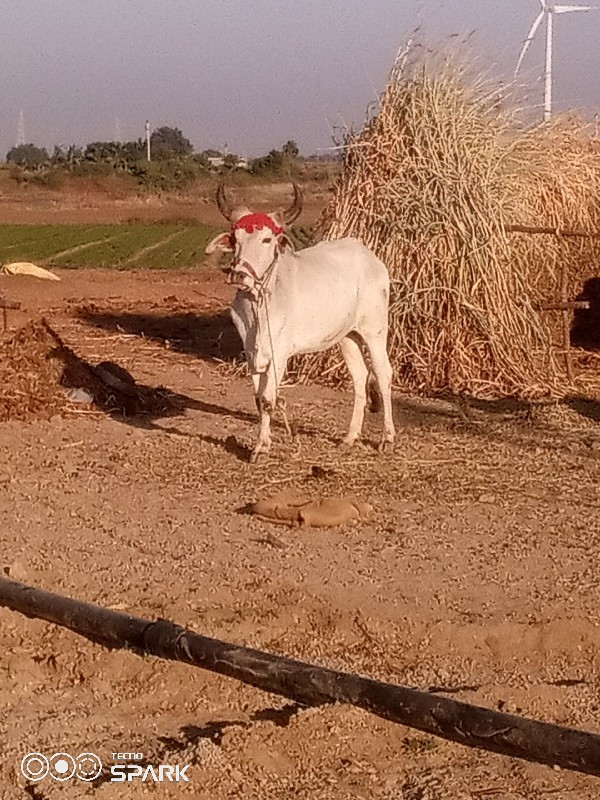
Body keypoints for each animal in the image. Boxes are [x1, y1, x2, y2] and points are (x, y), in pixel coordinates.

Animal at [204, 183, 396, 462]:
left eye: (267, 239)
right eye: (235, 239)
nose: (239, 275)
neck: (261, 302)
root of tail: (370, 257)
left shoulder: (279, 353)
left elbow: (268, 398)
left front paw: (261, 447)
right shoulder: (252, 353)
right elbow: (259, 399)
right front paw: (263, 443)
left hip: (374, 330)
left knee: (383, 373)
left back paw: (387, 438)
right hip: (347, 336)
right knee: (360, 377)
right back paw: (350, 437)